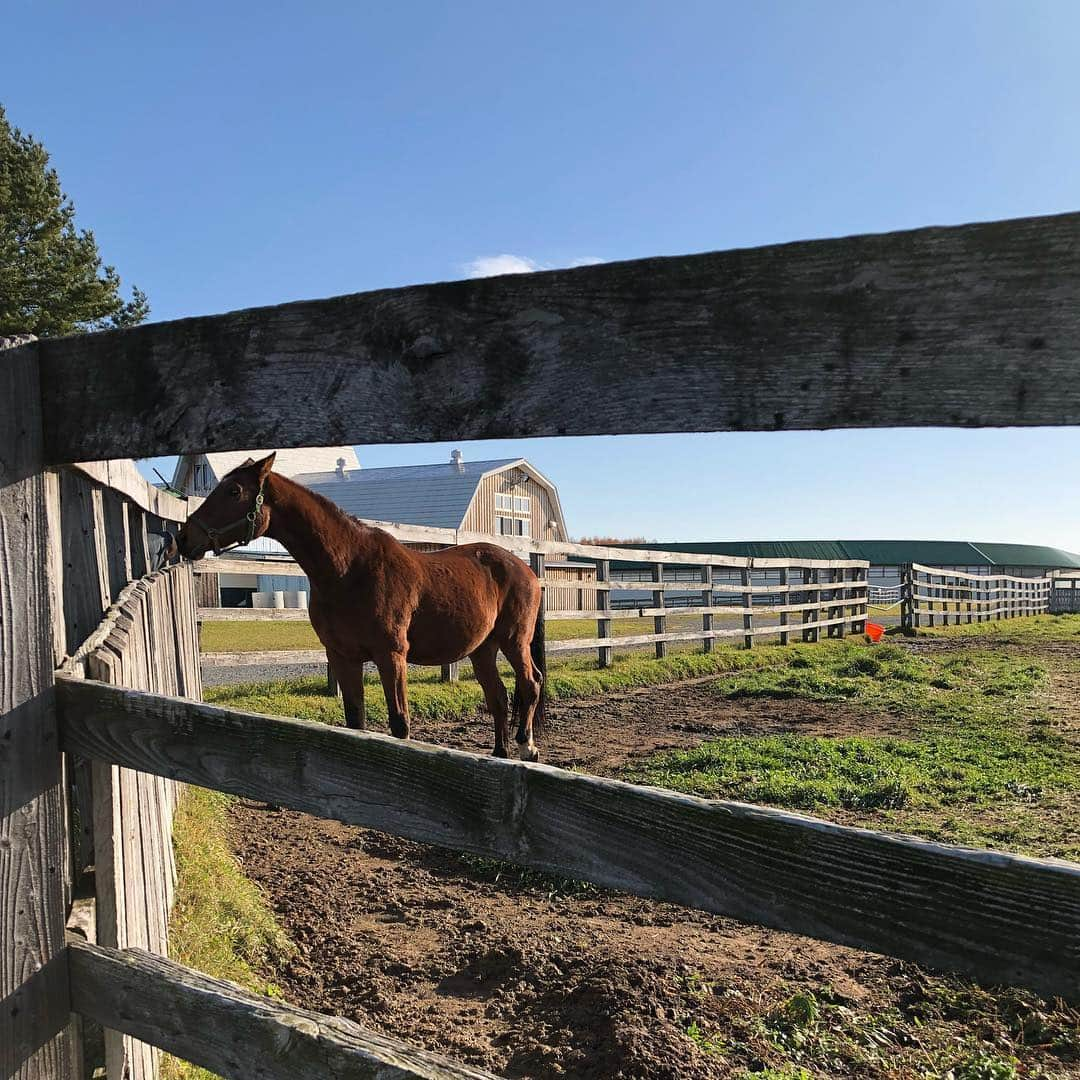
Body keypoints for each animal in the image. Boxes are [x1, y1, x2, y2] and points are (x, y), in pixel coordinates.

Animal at [181, 453, 548, 760]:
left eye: (234, 491)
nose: (184, 538)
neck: (349, 569)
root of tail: (526, 569)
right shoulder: (342, 656)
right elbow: (355, 721)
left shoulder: (391, 656)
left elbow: (400, 724)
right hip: (482, 648)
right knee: (498, 697)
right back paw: (500, 754)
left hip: (514, 641)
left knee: (530, 683)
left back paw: (527, 747)